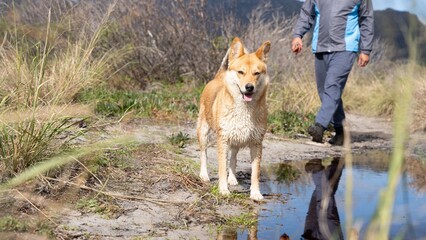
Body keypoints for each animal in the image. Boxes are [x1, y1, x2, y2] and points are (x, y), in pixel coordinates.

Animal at [196, 36, 270, 200]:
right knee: (204, 153)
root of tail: (219, 76)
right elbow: (221, 168)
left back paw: (233, 179)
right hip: (204, 131)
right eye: (240, 72)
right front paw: (223, 190)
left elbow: (255, 173)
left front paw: (255, 193)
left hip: (236, 139)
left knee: (233, 158)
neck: (245, 110)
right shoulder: (223, 140)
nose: (249, 87)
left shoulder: (257, 143)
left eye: (257, 73)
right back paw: (204, 175)